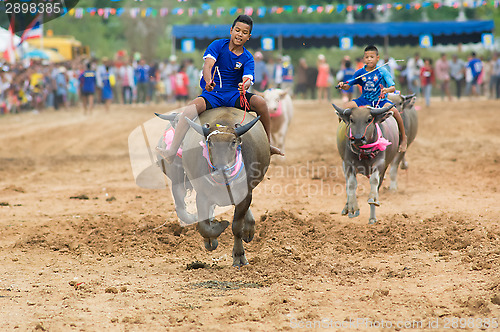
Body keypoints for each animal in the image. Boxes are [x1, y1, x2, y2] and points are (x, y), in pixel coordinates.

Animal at [182, 107, 270, 266]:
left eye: (233, 142)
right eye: (210, 143)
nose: (221, 170)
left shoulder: (245, 195)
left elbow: (236, 227)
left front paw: (239, 256)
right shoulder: (202, 196)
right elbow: (204, 226)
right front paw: (216, 230)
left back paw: (249, 228)